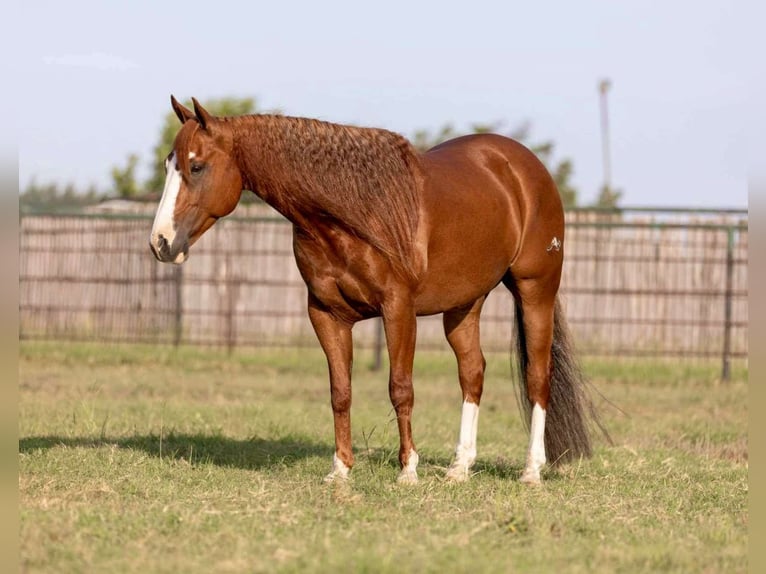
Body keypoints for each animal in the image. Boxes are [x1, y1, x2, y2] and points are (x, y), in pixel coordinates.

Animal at [150, 96, 605, 485]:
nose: (160, 243)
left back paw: (531, 470)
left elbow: (400, 388)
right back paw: (460, 467)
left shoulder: (398, 308)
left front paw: (408, 470)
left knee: (537, 376)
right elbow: (341, 392)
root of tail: (523, 167)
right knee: (472, 374)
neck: (351, 213)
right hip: (465, 305)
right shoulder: (326, 314)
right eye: (169, 164)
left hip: (535, 290)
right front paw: (340, 470)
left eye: (196, 167)